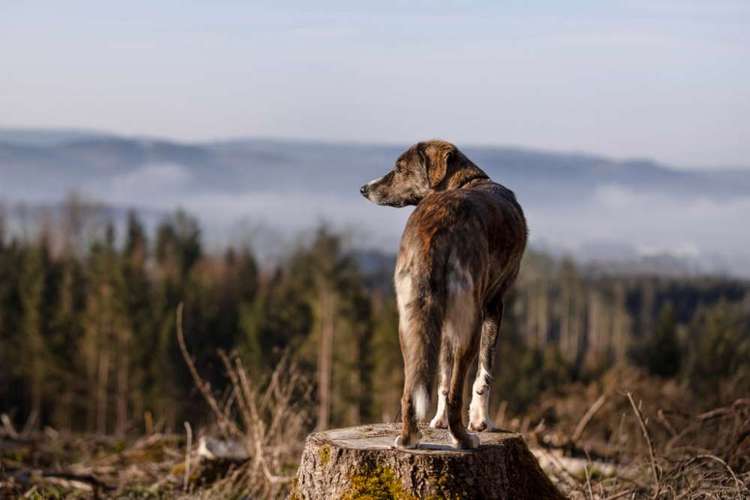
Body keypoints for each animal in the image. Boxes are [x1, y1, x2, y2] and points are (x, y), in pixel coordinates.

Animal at [360, 140, 528, 450]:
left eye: (400, 168)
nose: (364, 188)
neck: (467, 181)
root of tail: (437, 226)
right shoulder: (494, 305)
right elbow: (483, 372)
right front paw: (481, 420)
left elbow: (442, 375)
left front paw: (436, 422)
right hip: (468, 324)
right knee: (456, 392)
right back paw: (464, 438)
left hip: (411, 321)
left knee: (413, 387)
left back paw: (408, 438)